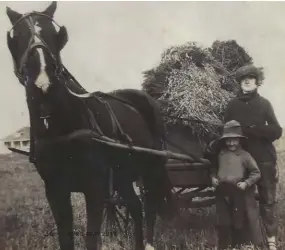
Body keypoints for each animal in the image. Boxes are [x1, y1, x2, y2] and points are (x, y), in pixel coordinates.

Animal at [5, 1, 174, 248]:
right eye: (15, 37)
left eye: (56, 35)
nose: (44, 84)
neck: (60, 127)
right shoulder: (55, 190)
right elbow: (65, 237)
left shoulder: (95, 189)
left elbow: (92, 238)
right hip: (123, 176)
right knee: (135, 207)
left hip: (152, 167)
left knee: (150, 206)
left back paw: (149, 243)